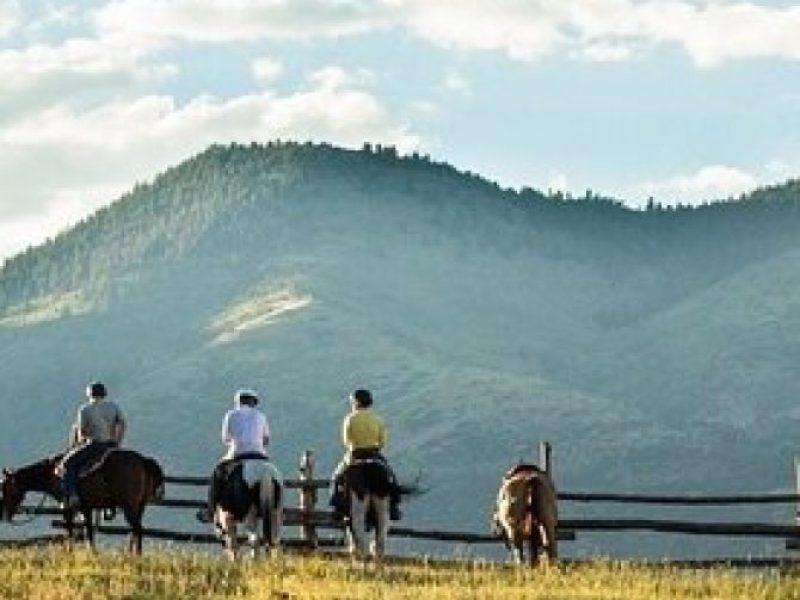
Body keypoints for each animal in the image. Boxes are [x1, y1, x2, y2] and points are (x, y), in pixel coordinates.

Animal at [1, 450, 164, 552]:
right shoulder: (87, 508)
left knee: (137, 529)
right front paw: (92, 553)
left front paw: (71, 553)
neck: (54, 473)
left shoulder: (67, 508)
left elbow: (70, 531)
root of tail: (143, 460)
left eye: (6, 488)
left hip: (129, 505)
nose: (5, 515)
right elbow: (89, 532)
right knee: (134, 530)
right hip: (139, 505)